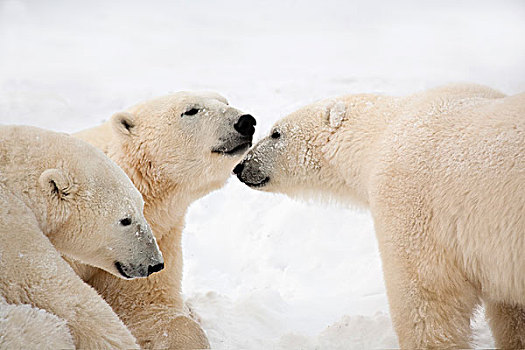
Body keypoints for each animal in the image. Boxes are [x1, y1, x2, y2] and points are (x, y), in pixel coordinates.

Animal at [234, 85, 524, 350]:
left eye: (276, 133)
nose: (241, 167)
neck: (383, 130)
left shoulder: (412, 206)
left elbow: (425, 303)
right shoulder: (499, 260)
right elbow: (510, 314)